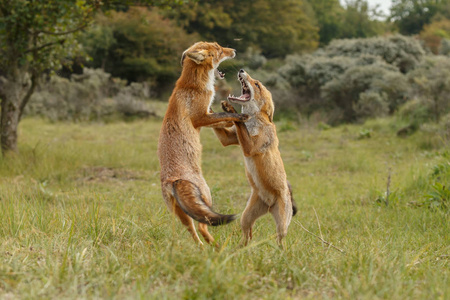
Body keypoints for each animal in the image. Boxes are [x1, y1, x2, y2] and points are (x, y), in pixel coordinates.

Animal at [157, 41, 250, 245]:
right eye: (219, 50)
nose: (234, 50)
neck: (192, 85)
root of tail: (173, 179)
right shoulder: (200, 117)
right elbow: (223, 116)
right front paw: (239, 117)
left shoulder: (206, 115)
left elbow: (221, 119)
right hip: (206, 194)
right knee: (202, 226)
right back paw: (217, 248)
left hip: (181, 213)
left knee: (193, 231)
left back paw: (206, 248)